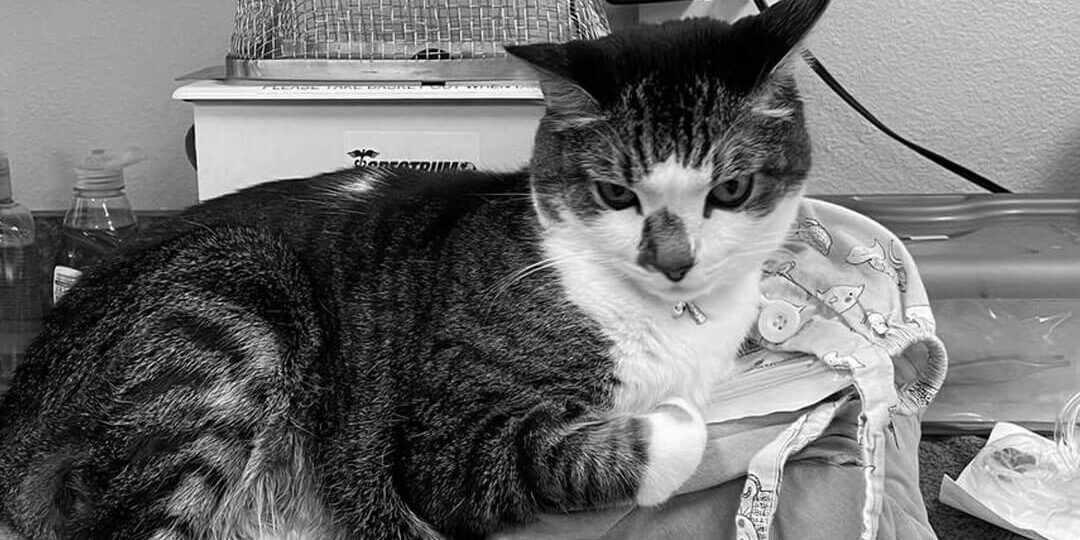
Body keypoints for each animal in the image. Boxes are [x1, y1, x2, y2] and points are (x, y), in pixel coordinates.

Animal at [0, 2, 829, 537]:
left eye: (731, 190)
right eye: (617, 194)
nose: (674, 261)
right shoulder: (444, 446)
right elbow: (607, 446)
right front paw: (675, 419)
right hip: (230, 290)